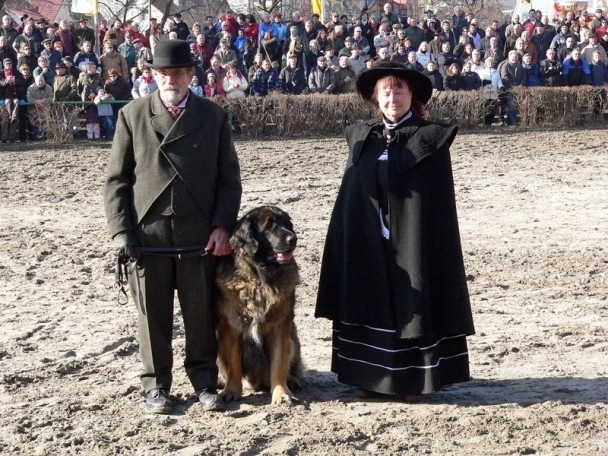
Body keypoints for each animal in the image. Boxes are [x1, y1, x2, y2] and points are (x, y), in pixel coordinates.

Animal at [214, 205, 304, 404]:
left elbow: (278, 363)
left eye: (287, 224)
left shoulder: (279, 326)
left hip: (293, 338)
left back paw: (293, 380)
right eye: (269, 226)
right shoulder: (233, 326)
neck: (260, 278)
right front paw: (231, 391)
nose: (293, 238)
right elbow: (234, 363)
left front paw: (281, 394)